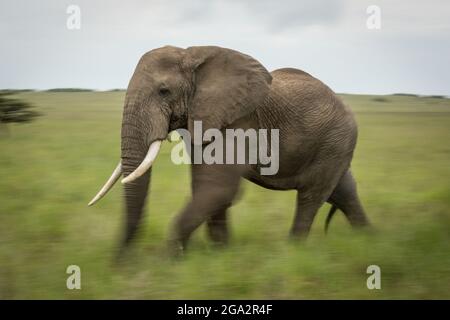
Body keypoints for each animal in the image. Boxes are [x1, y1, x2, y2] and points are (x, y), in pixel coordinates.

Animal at [87, 45, 370, 256]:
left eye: (163, 91)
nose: (119, 264)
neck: (191, 55)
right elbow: (208, 188)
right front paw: (221, 253)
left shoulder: (239, 120)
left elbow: (219, 188)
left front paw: (172, 260)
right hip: (334, 144)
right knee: (342, 191)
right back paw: (368, 239)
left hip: (335, 140)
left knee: (311, 196)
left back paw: (293, 251)